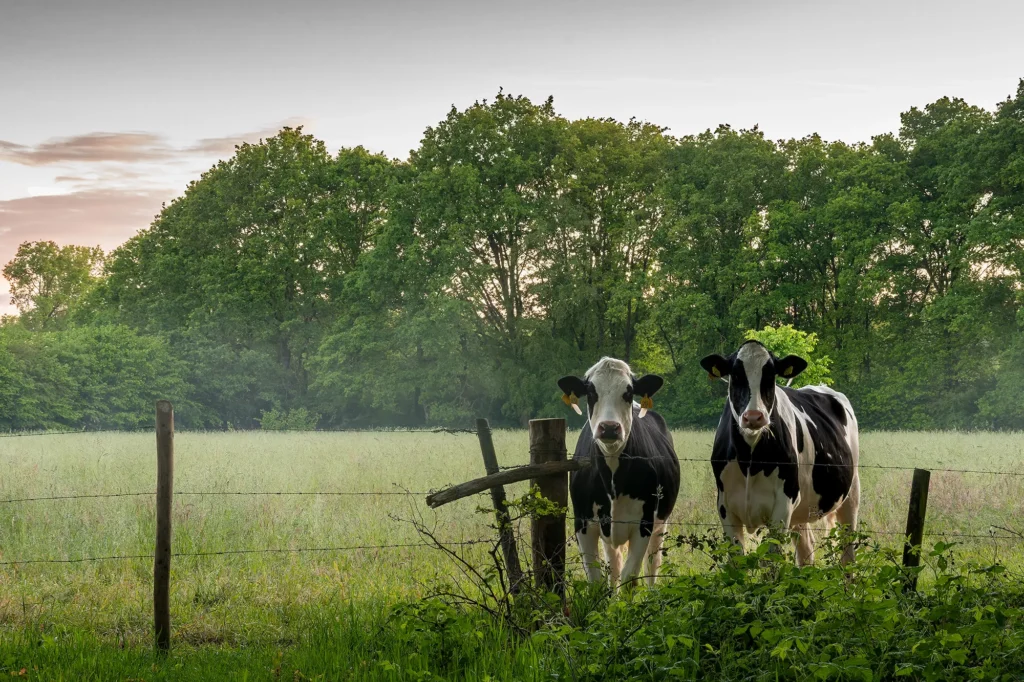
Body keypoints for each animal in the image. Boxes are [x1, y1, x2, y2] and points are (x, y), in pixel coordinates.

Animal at [558, 357, 680, 588]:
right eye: (591, 392)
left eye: (628, 392)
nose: (609, 427)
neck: (612, 476)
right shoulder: (583, 522)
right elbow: (597, 579)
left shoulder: (644, 524)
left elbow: (630, 576)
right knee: (613, 566)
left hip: (661, 522)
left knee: (652, 565)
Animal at [699, 340, 860, 566]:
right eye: (736, 375)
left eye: (770, 376)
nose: (753, 417)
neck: (750, 461)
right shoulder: (725, 507)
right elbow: (737, 563)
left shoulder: (783, 505)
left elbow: (772, 562)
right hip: (801, 512)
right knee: (806, 549)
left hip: (851, 495)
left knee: (847, 551)